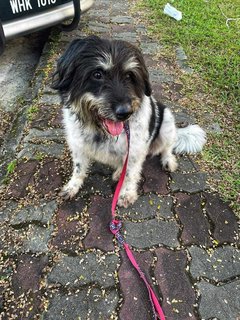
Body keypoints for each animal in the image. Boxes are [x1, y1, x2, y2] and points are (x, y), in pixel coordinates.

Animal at [52, 35, 206, 208]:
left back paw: (167, 161)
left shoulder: (135, 150)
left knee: (167, 148)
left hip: (166, 123)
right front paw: (72, 186)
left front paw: (126, 193)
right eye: (97, 74)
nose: (125, 113)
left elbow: (131, 173)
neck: (101, 131)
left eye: (129, 76)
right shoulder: (78, 146)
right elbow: (79, 169)